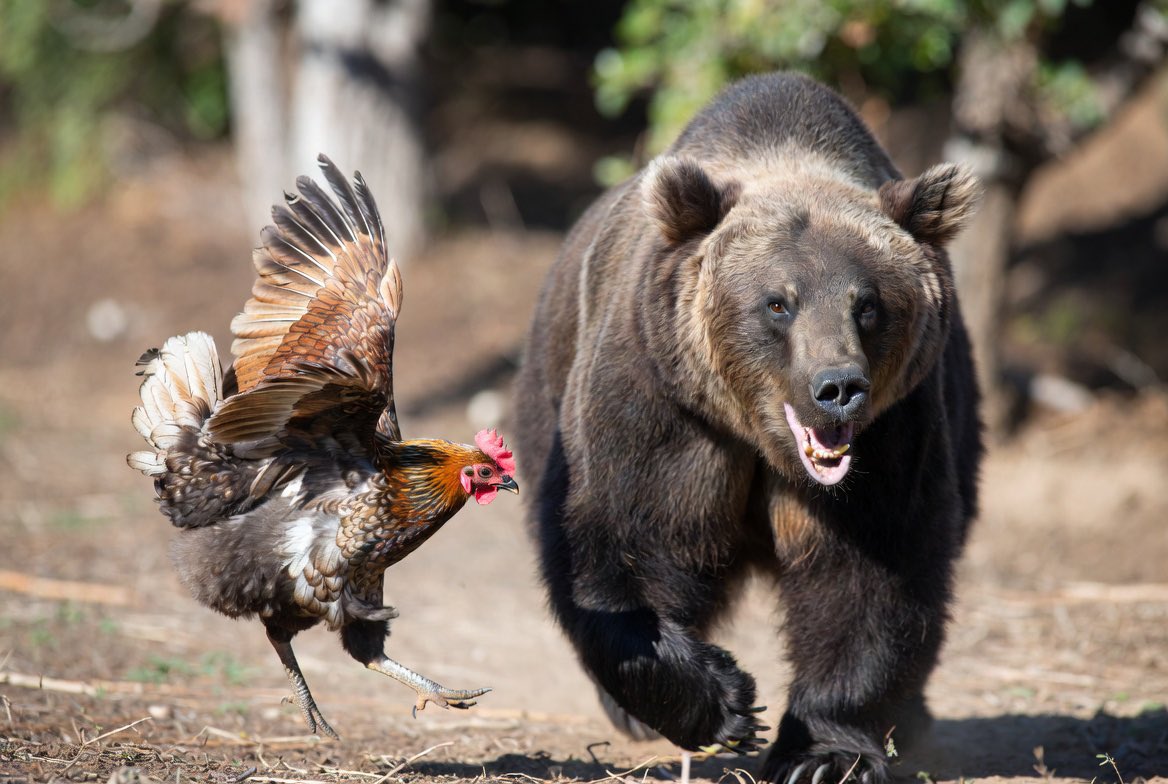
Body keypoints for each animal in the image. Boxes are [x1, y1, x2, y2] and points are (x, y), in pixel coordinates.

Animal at [512, 72, 982, 784]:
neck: (763, 442)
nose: (838, 388)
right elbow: (622, 541)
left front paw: (823, 755)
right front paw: (724, 701)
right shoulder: (666, 410)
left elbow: (872, 574)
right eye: (778, 302)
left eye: (869, 304)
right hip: (550, 380)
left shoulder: (895, 435)